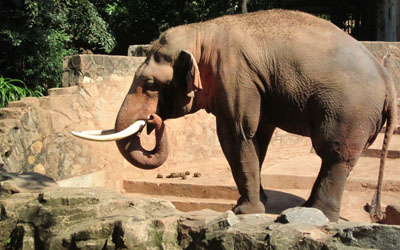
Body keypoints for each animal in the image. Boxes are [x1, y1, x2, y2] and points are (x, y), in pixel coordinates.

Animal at [72, 8, 396, 222]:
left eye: (150, 84)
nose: (153, 120)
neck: (202, 32)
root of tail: (388, 79)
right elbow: (258, 137)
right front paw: (253, 203)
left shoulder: (234, 74)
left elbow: (237, 134)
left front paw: (242, 211)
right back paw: (305, 210)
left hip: (349, 111)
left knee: (335, 154)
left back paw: (319, 215)